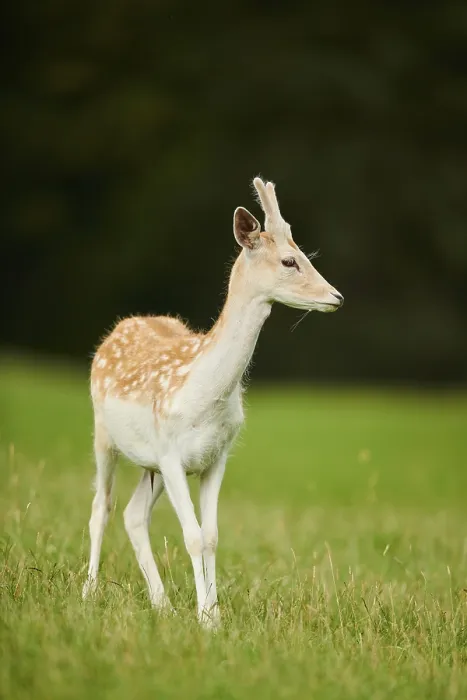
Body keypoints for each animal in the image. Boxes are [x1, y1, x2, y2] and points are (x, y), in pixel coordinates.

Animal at [82, 177, 343, 627]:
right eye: (290, 261)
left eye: (306, 256)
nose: (336, 296)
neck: (205, 394)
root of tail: (119, 328)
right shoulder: (170, 453)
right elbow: (191, 538)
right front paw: (206, 620)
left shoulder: (214, 456)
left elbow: (211, 536)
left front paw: (212, 616)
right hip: (105, 434)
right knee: (102, 506)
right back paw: (89, 592)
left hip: (151, 465)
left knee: (134, 515)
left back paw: (162, 604)